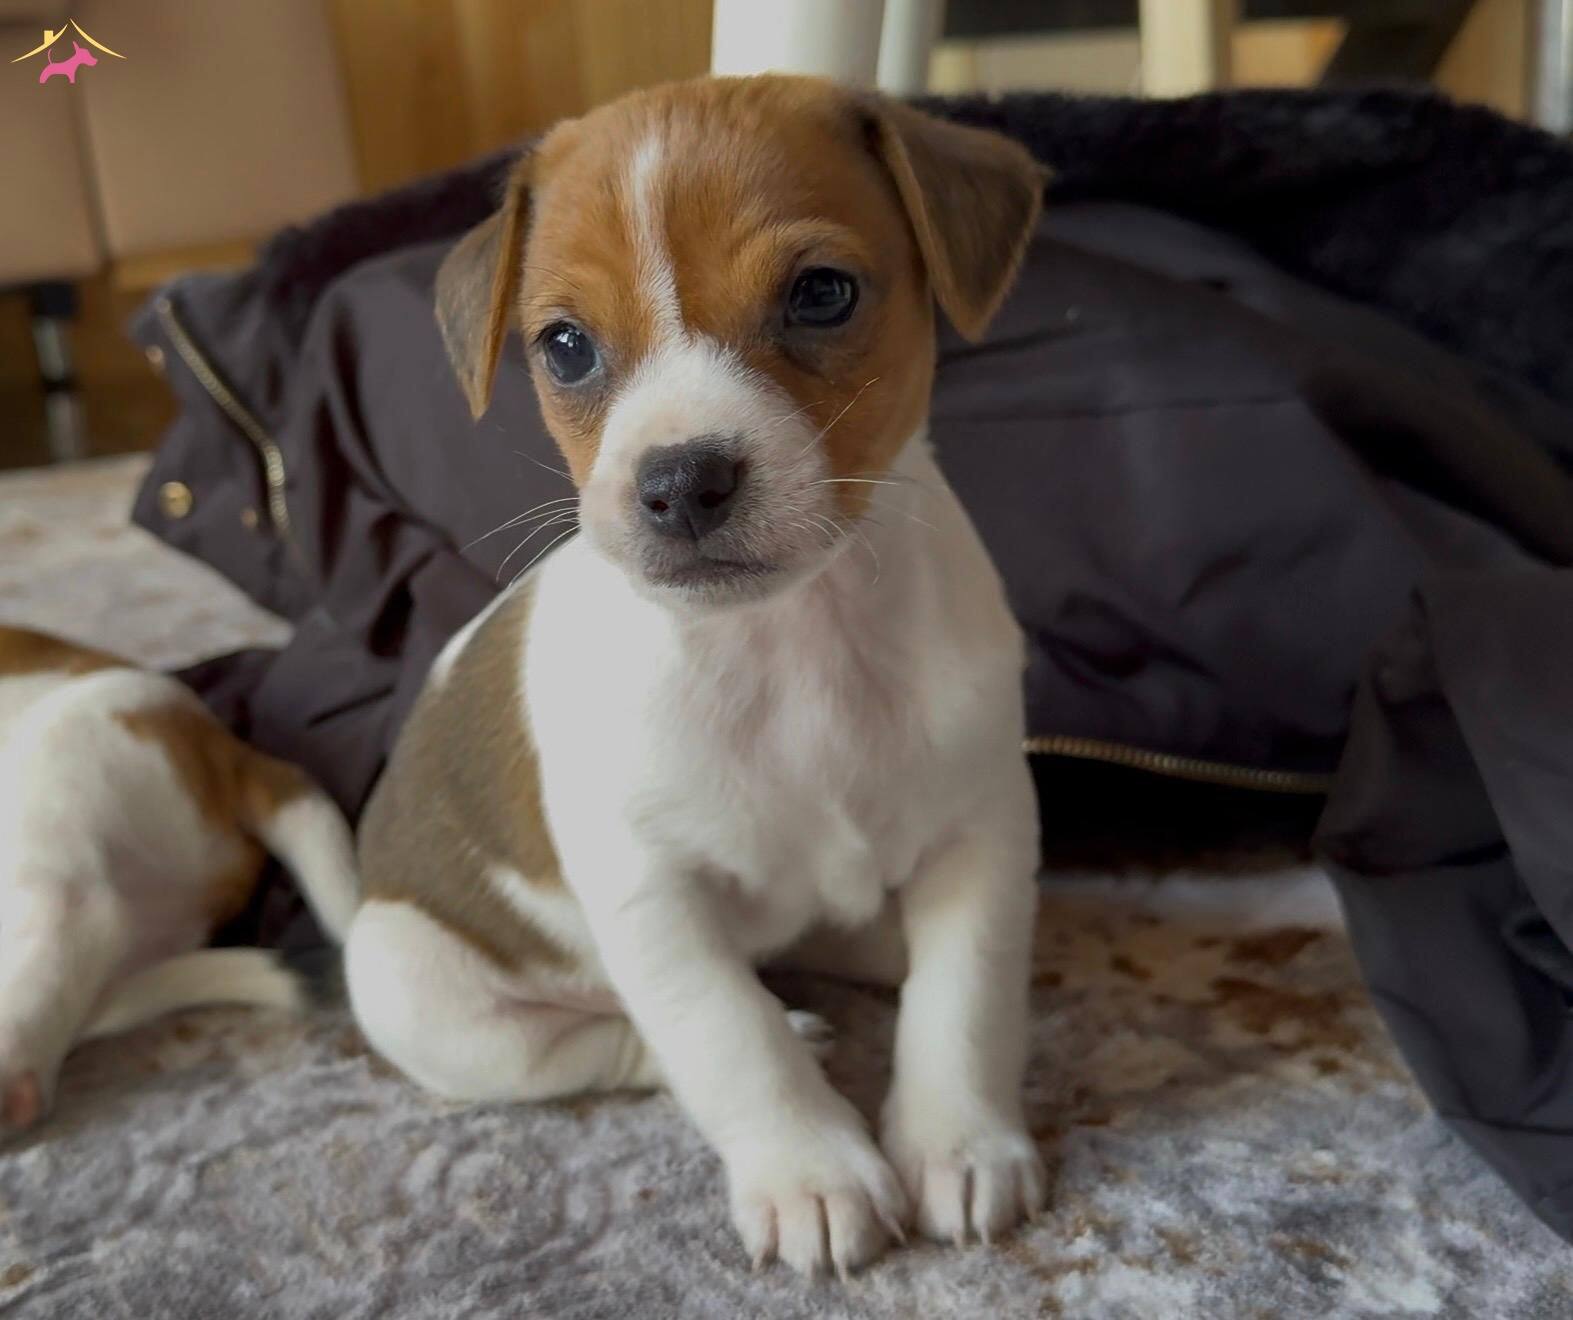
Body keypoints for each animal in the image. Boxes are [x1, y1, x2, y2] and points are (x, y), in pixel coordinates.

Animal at [348, 74, 1048, 1276]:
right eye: (565, 346)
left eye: (820, 294)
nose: (680, 480)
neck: (793, 642)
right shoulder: (652, 896)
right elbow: (730, 1038)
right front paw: (811, 1169)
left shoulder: (983, 830)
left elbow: (962, 1003)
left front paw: (960, 1144)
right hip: (418, 993)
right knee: (606, 1050)